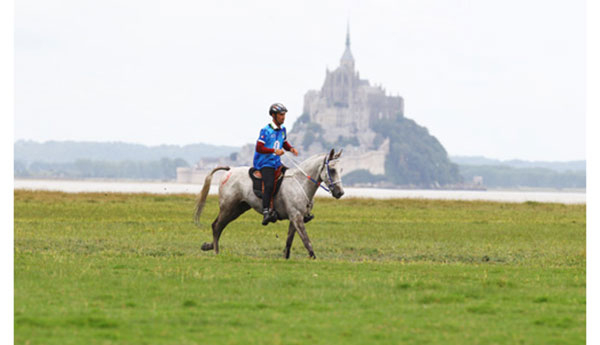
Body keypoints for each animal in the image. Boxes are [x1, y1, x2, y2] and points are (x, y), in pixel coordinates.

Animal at [195, 148, 344, 258]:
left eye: (340, 169)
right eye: (332, 170)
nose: (340, 193)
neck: (300, 182)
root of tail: (229, 170)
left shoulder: (295, 218)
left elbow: (289, 241)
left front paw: (285, 257)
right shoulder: (296, 217)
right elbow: (307, 241)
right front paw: (313, 258)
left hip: (238, 209)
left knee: (219, 226)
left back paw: (208, 246)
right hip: (228, 207)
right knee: (216, 226)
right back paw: (215, 251)